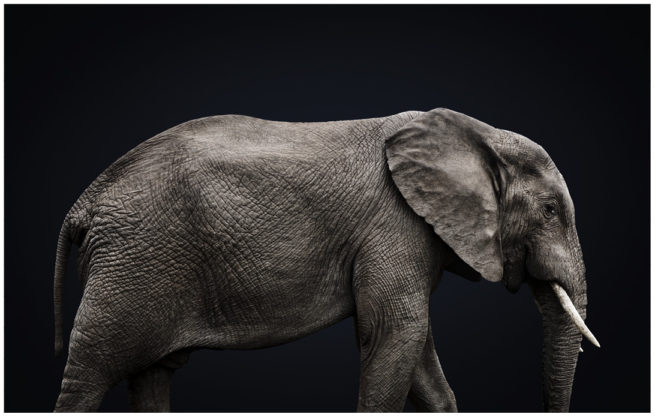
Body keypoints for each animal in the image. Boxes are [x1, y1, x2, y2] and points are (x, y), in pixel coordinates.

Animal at [52, 108, 599, 412]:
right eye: (551, 211)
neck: (478, 134)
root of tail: (86, 200)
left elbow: (415, 345)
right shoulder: (393, 226)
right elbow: (395, 331)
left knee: (152, 374)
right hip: (133, 260)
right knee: (92, 369)